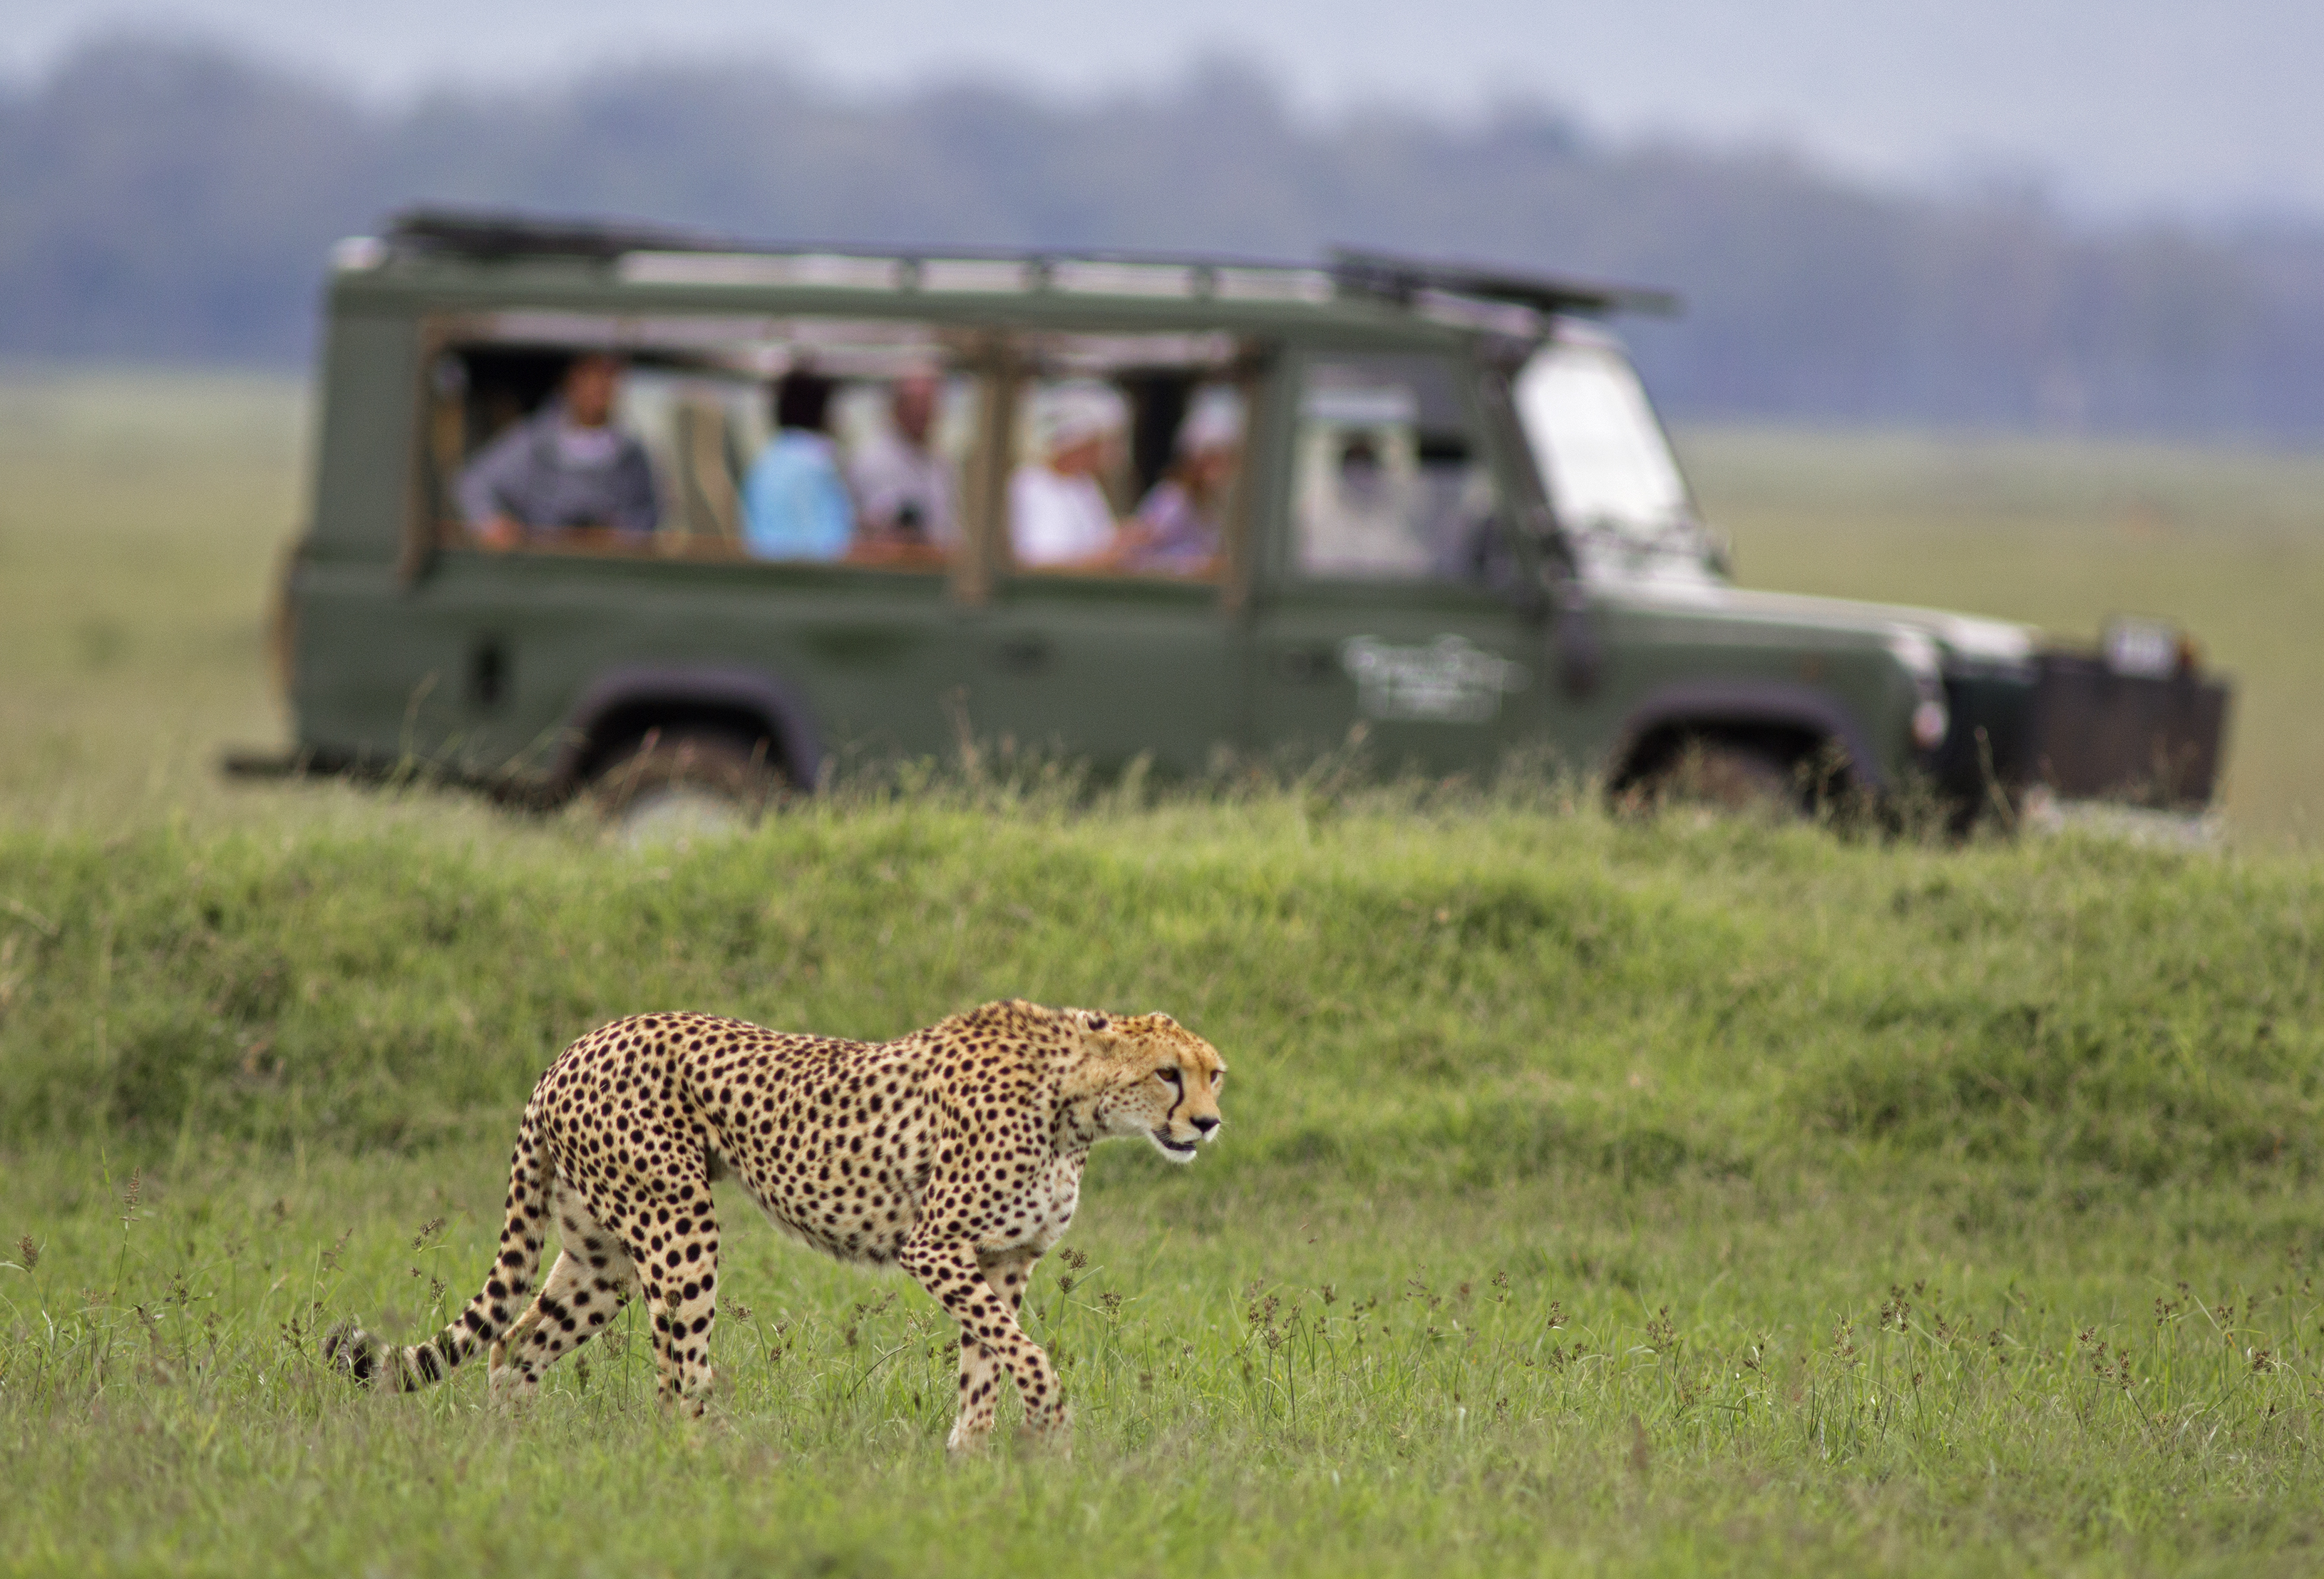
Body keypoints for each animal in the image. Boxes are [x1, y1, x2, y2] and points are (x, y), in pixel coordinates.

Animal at [324, 999, 1225, 1450]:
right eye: (1166, 1074)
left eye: (1213, 1074)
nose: (1209, 1123)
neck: (1076, 1104)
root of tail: (572, 1048)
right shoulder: (935, 1247)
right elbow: (1025, 1354)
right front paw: (1052, 1430)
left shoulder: (1002, 1261)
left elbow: (988, 1364)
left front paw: (972, 1464)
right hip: (678, 1223)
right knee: (675, 1378)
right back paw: (713, 1468)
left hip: (601, 1254)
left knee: (513, 1348)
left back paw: (516, 1461)